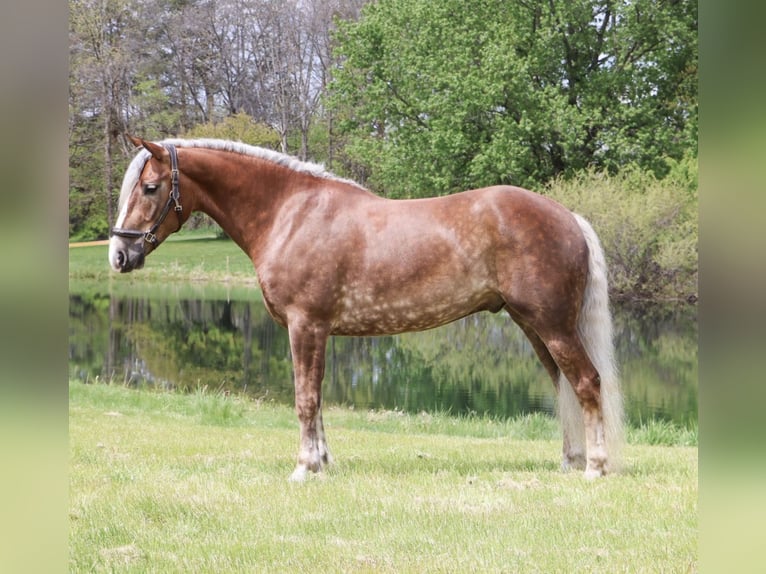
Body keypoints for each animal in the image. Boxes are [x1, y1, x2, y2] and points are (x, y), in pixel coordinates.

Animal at [109, 136, 624, 480]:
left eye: (151, 187)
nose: (119, 255)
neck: (290, 213)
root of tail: (568, 216)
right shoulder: (314, 331)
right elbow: (316, 398)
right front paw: (322, 463)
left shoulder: (305, 325)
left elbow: (305, 398)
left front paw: (304, 468)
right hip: (534, 327)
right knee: (563, 387)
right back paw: (571, 461)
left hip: (553, 325)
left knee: (586, 382)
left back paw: (595, 467)